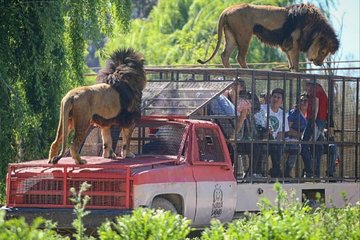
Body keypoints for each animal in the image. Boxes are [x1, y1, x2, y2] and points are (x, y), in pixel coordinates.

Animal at [198, 3, 338, 71]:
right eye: (323, 51)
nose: (319, 64)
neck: (314, 28)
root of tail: (226, 10)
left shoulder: (287, 45)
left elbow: (291, 64)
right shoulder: (293, 42)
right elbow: (296, 63)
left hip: (231, 36)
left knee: (224, 55)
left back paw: (229, 70)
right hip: (244, 35)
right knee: (240, 57)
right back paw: (247, 70)